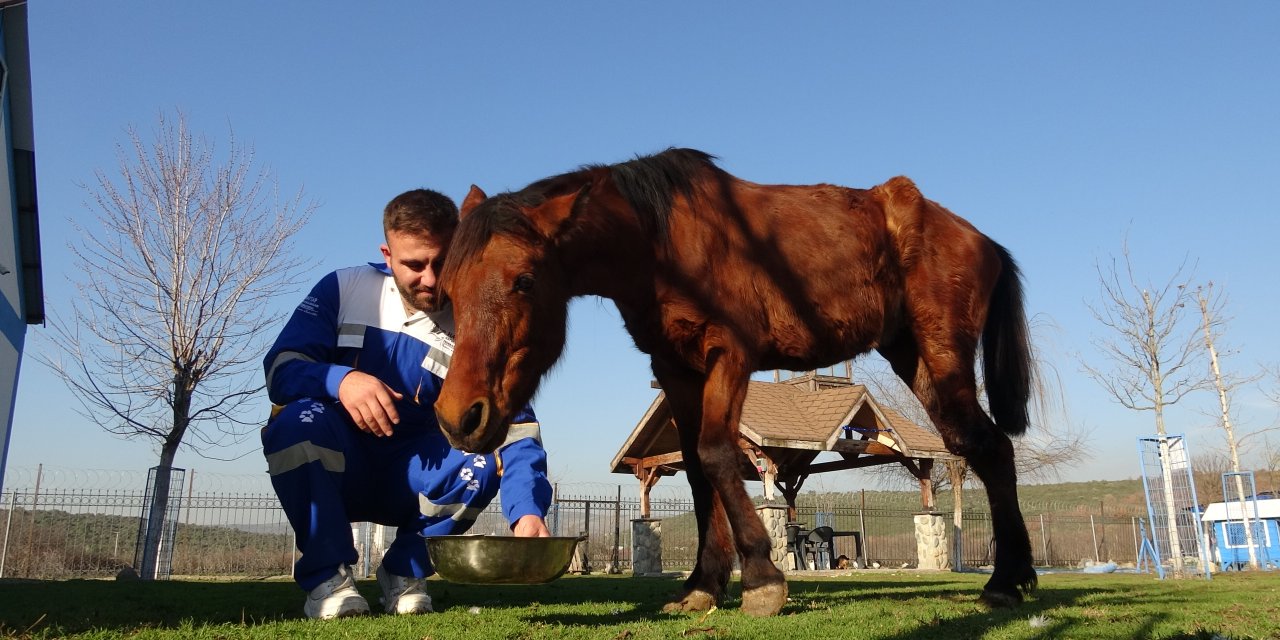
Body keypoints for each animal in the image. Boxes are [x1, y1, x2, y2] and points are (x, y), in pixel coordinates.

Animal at [435, 148, 1034, 614]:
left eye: (524, 280)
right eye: (448, 288)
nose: (458, 416)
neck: (659, 243)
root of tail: (979, 238)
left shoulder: (730, 354)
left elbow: (717, 454)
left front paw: (763, 579)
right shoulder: (675, 369)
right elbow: (699, 473)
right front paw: (704, 583)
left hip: (942, 353)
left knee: (989, 448)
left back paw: (1005, 583)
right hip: (914, 357)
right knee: (985, 447)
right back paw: (1015, 576)